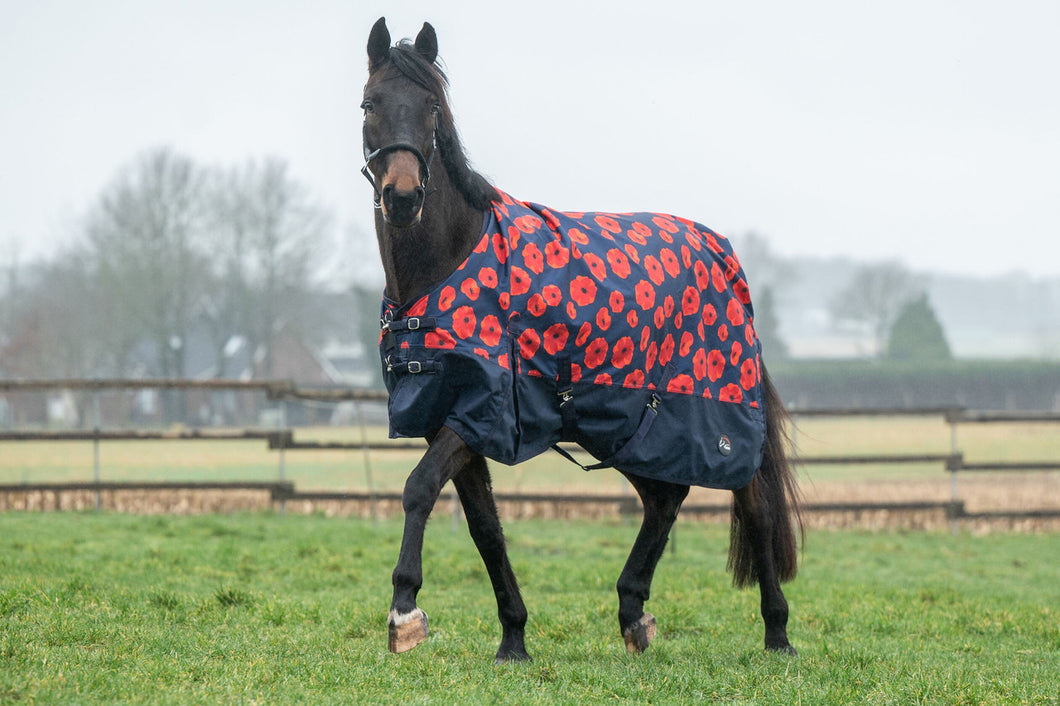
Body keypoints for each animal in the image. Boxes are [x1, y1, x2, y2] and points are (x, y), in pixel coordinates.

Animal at [360, 19, 797, 661]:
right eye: (370, 104)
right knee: (664, 499)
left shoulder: (480, 410)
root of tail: (721, 252)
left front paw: (405, 611)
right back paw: (634, 614)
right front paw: (513, 637)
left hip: (719, 419)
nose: (402, 196)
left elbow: (418, 488)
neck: (449, 261)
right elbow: (485, 527)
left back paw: (777, 632)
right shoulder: (453, 417)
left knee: (757, 507)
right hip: (627, 425)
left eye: (432, 108)